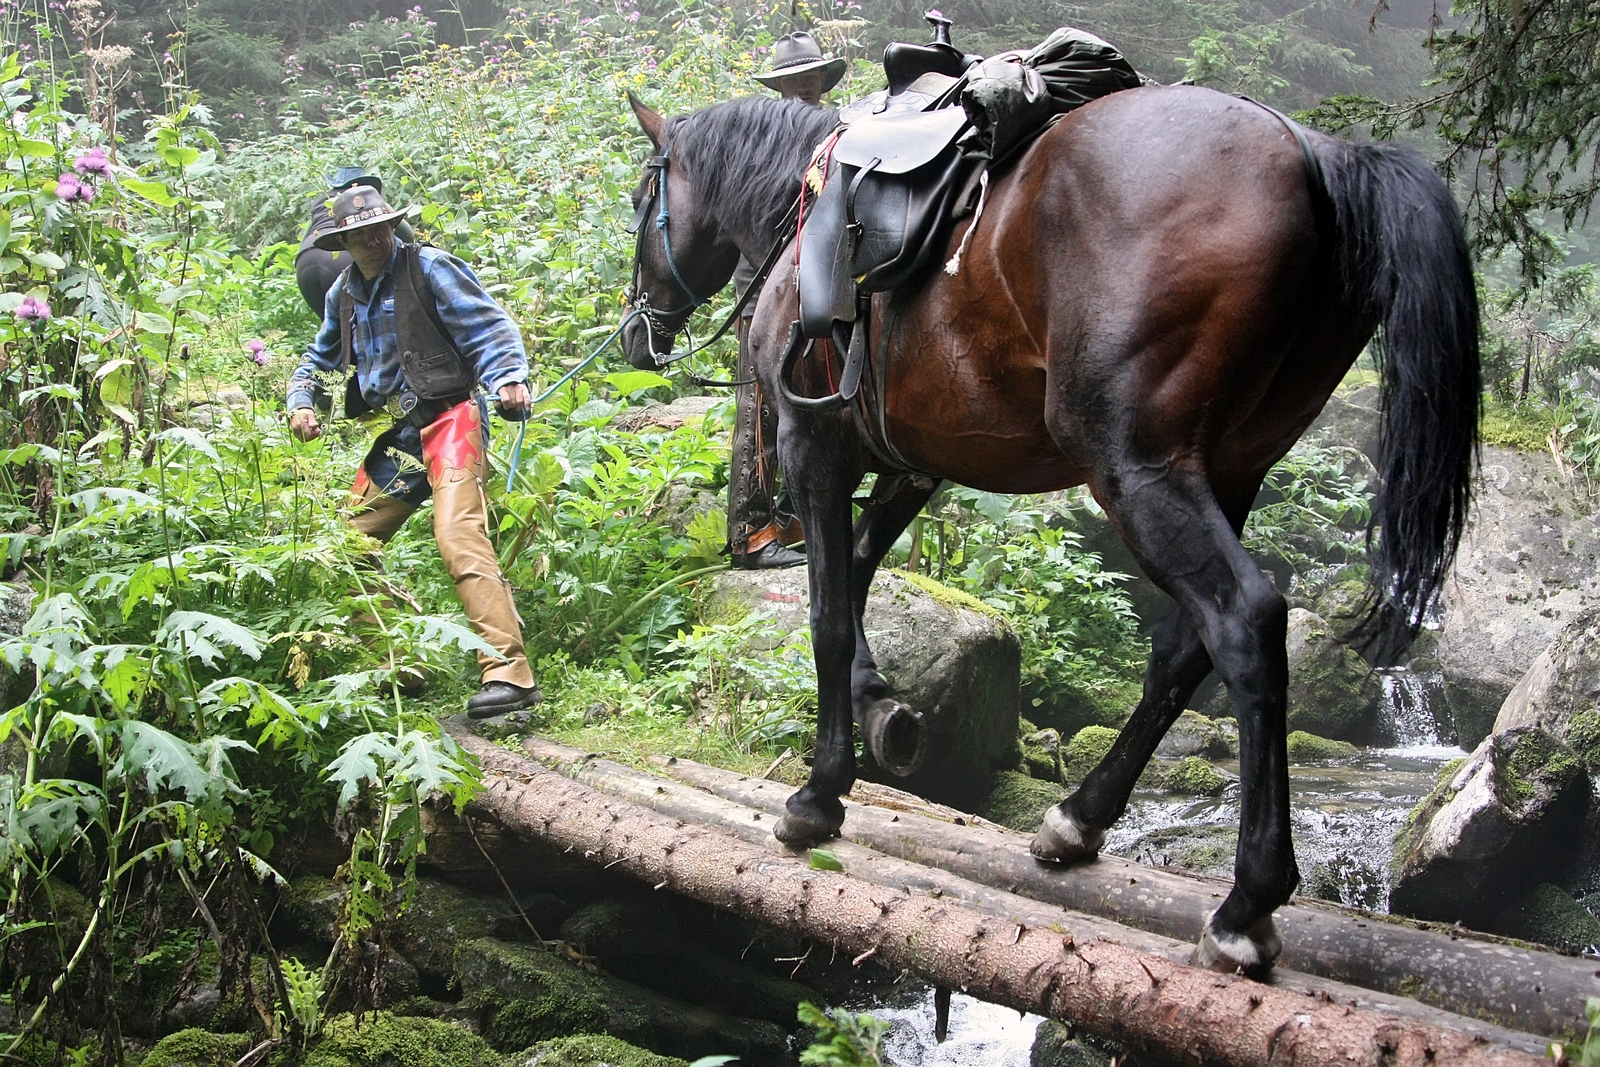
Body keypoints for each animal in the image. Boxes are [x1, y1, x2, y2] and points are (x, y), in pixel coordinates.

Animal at [620, 91, 1472, 979]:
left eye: (643, 200)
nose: (636, 332)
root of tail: (1313, 154)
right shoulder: (910, 463)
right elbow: (856, 573)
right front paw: (881, 706)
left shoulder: (811, 443)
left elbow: (825, 613)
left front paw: (820, 793)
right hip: (1232, 469)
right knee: (1184, 646)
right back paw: (1079, 817)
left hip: (1135, 467)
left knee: (1244, 621)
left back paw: (1245, 906)